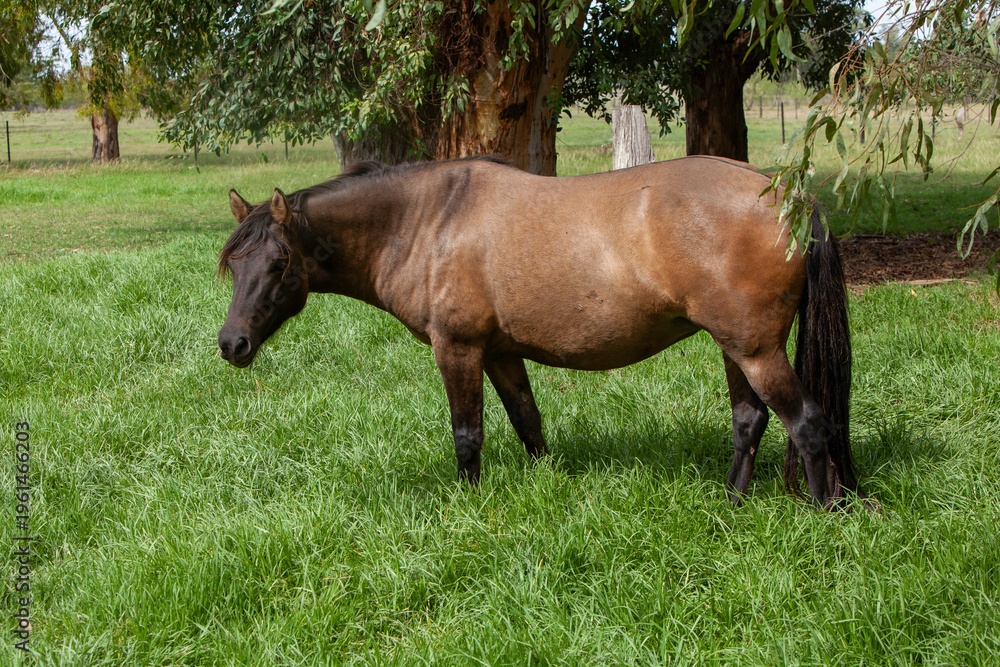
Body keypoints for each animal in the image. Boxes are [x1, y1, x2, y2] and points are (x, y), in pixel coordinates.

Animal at [217, 155, 858, 508]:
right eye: (234, 263)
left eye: (278, 264)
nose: (232, 344)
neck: (429, 219)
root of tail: (789, 197)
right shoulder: (500, 353)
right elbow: (528, 421)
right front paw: (546, 486)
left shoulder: (458, 349)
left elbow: (467, 434)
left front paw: (468, 506)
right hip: (736, 348)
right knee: (749, 421)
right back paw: (731, 504)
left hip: (756, 350)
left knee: (808, 424)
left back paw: (824, 516)